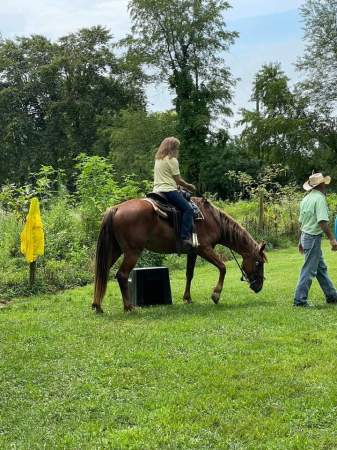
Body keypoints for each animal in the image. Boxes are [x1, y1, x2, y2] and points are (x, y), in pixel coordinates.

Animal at [91, 197, 266, 312]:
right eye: (259, 263)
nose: (258, 287)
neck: (212, 219)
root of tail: (116, 209)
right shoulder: (204, 249)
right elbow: (223, 267)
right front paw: (216, 295)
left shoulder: (193, 252)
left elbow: (189, 274)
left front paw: (187, 298)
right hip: (132, 252)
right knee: (121, 275)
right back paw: (128, 307)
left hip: (115, 250)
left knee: (102, 272)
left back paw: (97, 306)